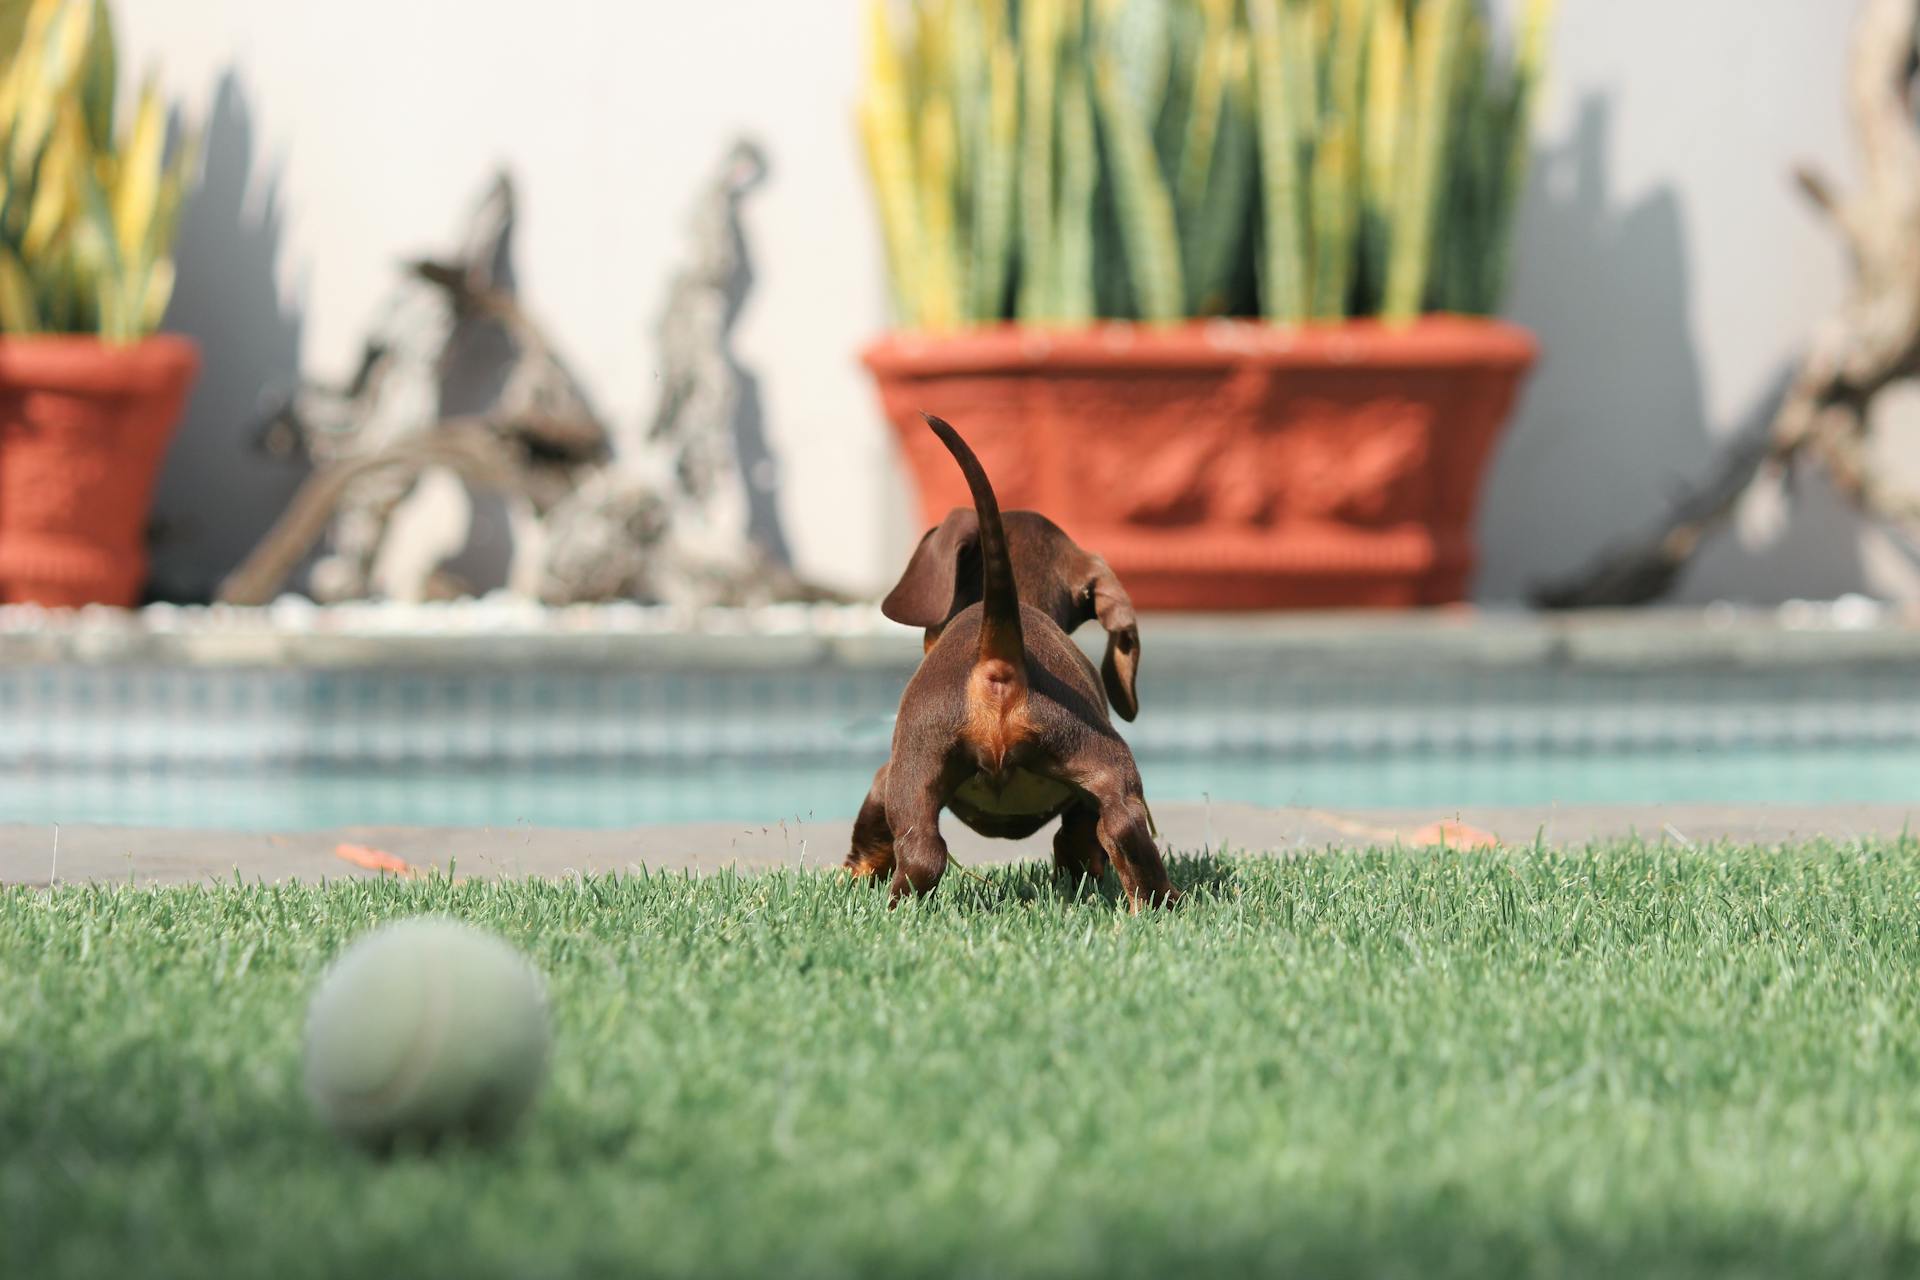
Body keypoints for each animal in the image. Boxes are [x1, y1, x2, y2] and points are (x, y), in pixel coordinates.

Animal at [848, 412, 1175, 909]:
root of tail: (1000, 666)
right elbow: (1081, 838)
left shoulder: (886, 776)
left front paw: (854, 874)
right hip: (1098, 760)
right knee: (1122, 823)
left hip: (918, 765)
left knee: (922, 851)